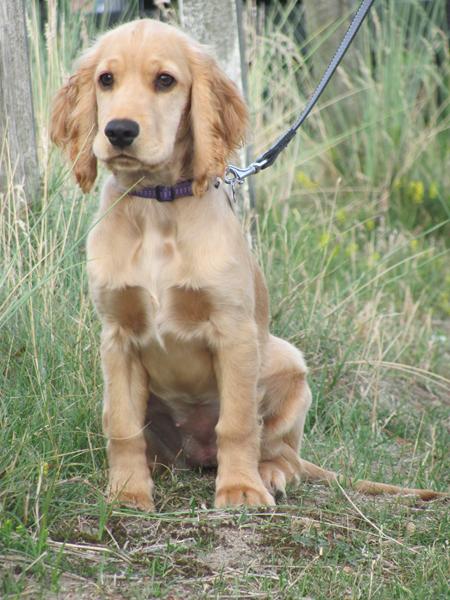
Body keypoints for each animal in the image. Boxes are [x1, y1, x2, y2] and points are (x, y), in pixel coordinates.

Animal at [51, 18, 444, 508]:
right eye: (106, 79)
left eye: (165, 80)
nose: (119, 131)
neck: (157, 207)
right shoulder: (117, 336)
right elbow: (122, 424)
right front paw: (127, 491)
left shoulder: (234, 331)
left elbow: (237, 423)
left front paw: (240, 488)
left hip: (286, 361)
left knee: (281, 451)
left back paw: (268, 473)